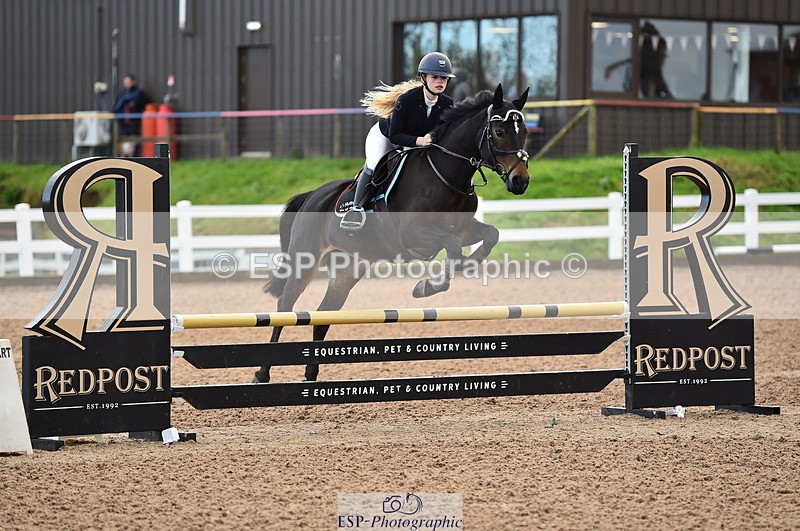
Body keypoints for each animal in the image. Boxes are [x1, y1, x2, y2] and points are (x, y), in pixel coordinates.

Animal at [253, 83, 531, 383]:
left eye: (524, 132)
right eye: (499, 132)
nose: (520, 181)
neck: (448, 175)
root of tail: (312, 196)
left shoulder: (464, 228)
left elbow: (489, 235)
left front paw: (464, 267)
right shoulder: (413, 234)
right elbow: (453, 246)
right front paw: (429, 286)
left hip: (348, 267)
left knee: (324, 313)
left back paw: (312, 372)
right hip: (305, 260)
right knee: (284, 306)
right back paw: (262, 373)